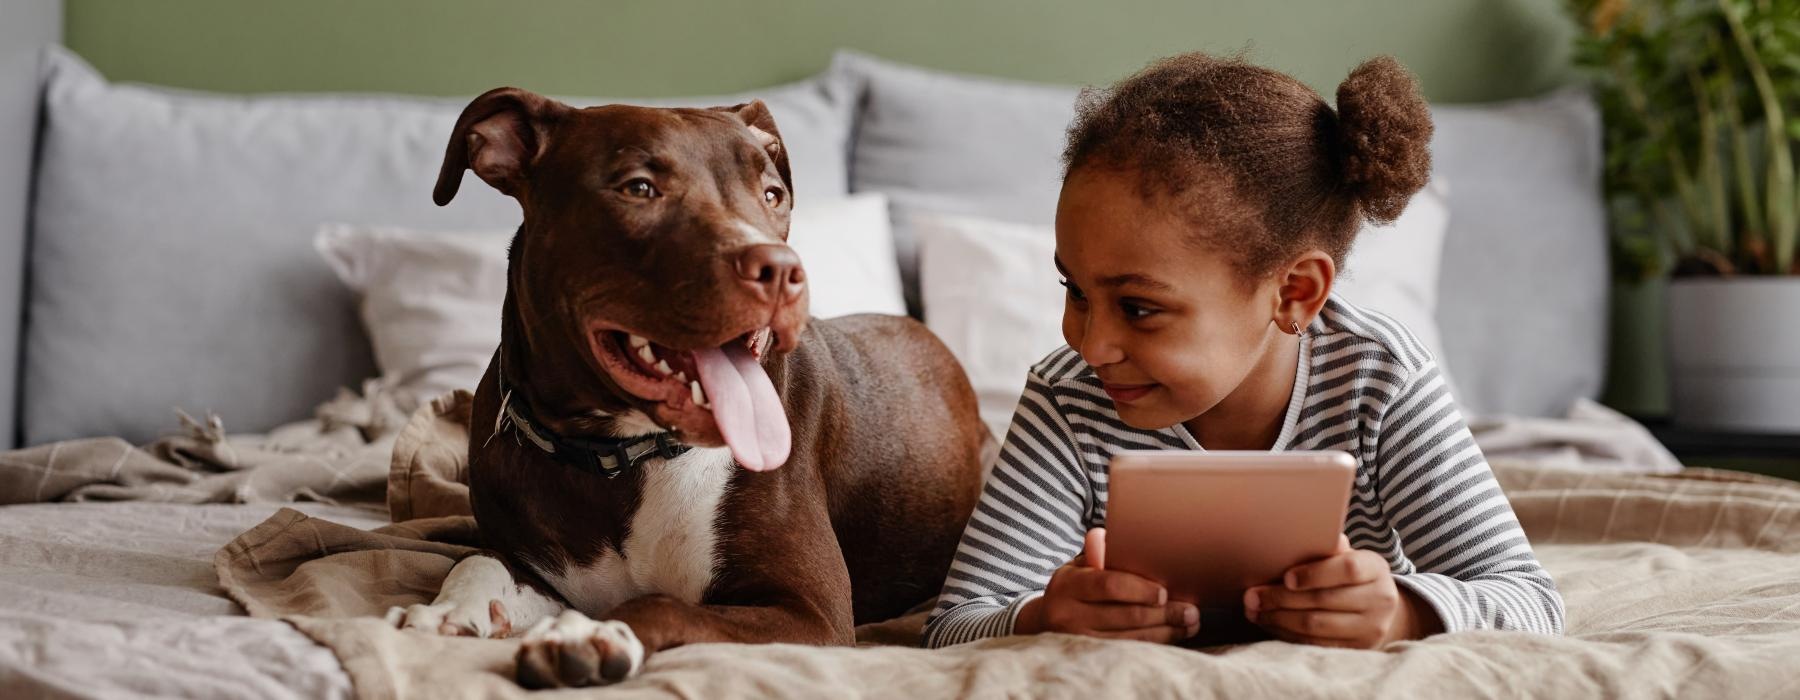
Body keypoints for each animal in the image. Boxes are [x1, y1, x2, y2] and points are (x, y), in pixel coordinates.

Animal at [379, 88, 993, 687]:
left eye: (772, 195)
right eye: (639, 188)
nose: (782, 269)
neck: (616, 456)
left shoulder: (811, 613)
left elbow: (663, 604)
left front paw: (590, 634)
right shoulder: (537, 568)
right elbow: (477, 561)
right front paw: (447, 611)